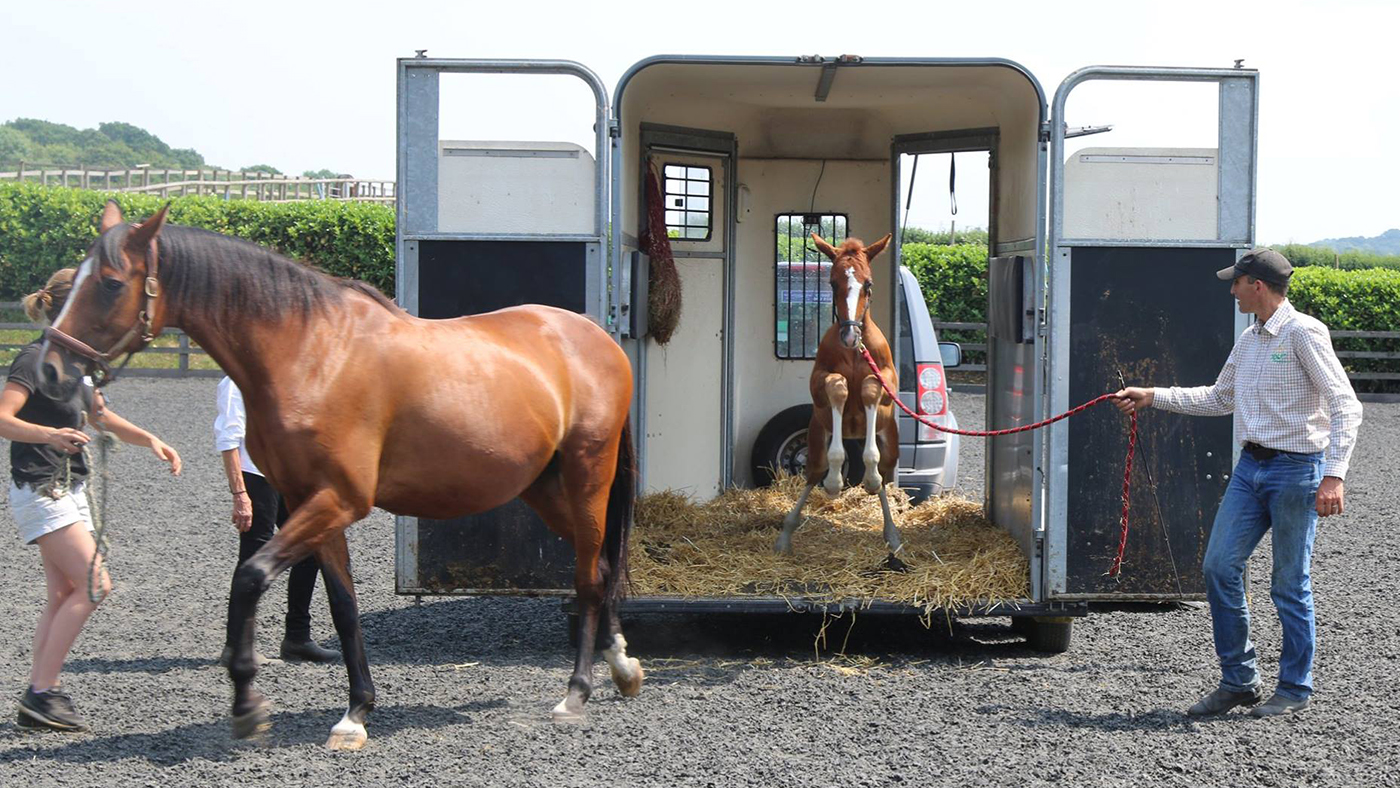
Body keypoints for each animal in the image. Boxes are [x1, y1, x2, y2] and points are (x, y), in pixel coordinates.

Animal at [37, 201, 644, 749]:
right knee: (602, 563)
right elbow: (344, 608)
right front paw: (356, 713)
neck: (311, 352)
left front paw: (248, 704)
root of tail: (597, 339)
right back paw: (623, 666)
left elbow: (250, 577)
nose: (49, 369)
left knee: (589, 577)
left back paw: (576, 692)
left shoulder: (338, 500)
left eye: (111, 283)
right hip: (543, 489)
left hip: (587, 476)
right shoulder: (314, 502)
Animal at [773, 233, 904, 557]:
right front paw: (835, 481)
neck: (856, 353)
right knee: (813, 475)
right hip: (816, 440)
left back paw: (892, 533)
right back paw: (786, 534)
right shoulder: (819, 382)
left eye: (868, 283)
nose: (850, 336)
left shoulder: (887, 382)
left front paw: (868, 474)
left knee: (883, 479)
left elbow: (869, 389)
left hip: (890, 445)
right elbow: (838, 387)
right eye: (833, 283)